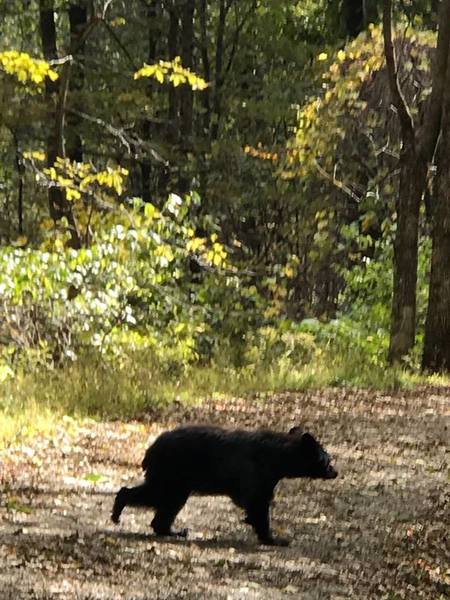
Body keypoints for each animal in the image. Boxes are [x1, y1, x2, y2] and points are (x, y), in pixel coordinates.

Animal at [111, 424, 338, 548]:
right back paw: (118, 511)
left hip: (177, 478)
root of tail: (150, 449)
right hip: (173, 472)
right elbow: (257, 502)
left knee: (167, 504)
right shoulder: (257, 473)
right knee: (159, 495)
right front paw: (274, 538)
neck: (278, 457)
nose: (335, 472)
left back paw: (172, 531)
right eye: (327, 460)